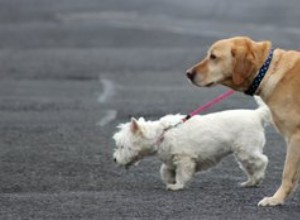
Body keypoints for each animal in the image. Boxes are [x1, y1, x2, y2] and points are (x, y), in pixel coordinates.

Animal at [112, 97, 270, 190]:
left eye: (121, 146)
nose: (114, 159)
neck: (162, 134)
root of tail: (257, 114)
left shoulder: (184, 158)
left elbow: (182, 174)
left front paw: (177, 186)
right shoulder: (171, 159)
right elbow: (165, 171)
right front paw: (170, 181)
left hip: (246, 150)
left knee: (262, 161)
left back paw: (257, 179)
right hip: (242, 154)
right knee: (251, 167)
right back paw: (250, 182)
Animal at [185, 36, 300, 206]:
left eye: (213, 56)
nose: (188, 74)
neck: (267, 70)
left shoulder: (294, 137)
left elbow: (287, 174)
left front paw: (276, 199)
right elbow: (294, 177)